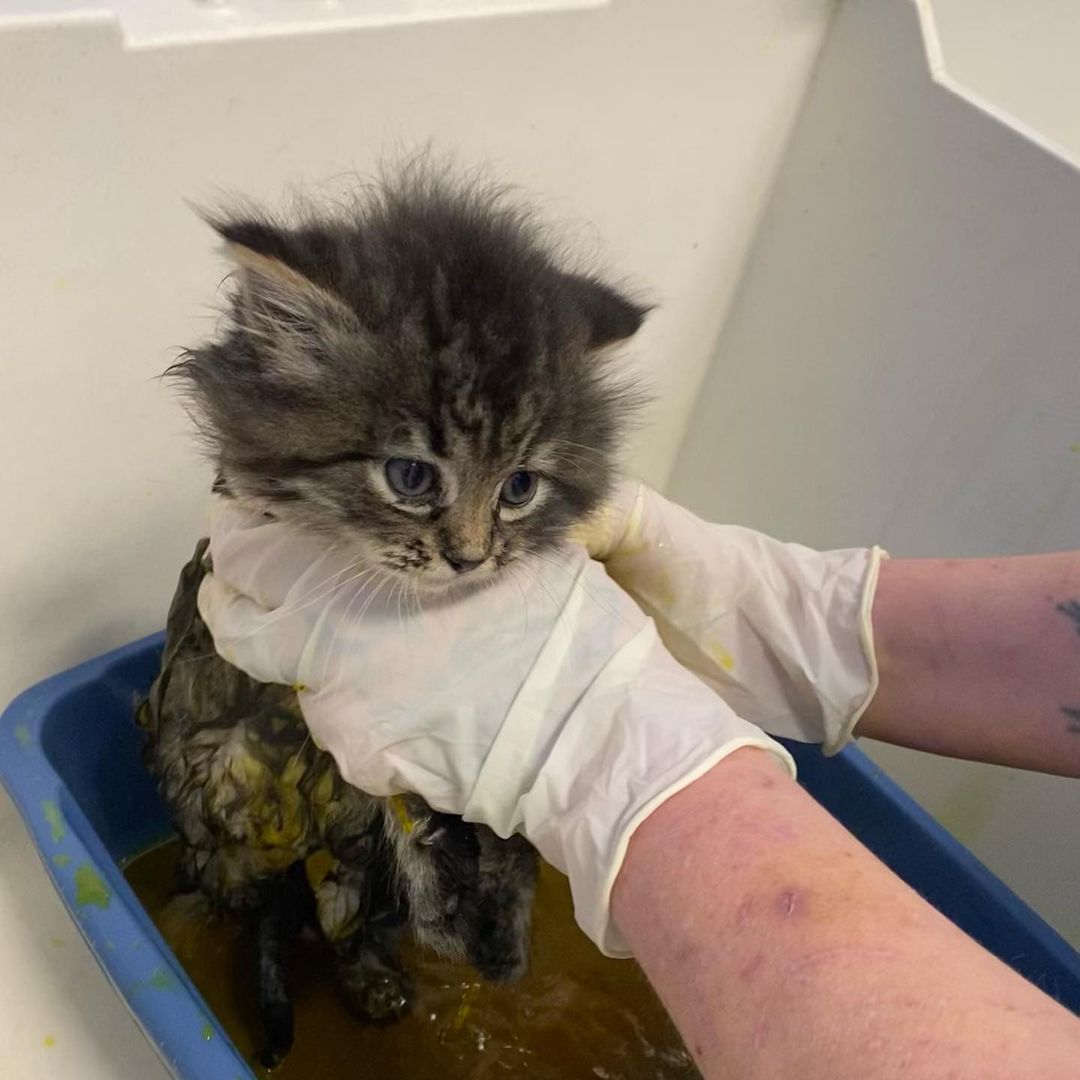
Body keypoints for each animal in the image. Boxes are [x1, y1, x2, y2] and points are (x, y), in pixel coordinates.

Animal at [143, 172, 648, 1067]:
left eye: (520, 488)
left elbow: (456, 830)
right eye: (411, 477)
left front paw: (493, 920)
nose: (471, 558)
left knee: (352, 915)